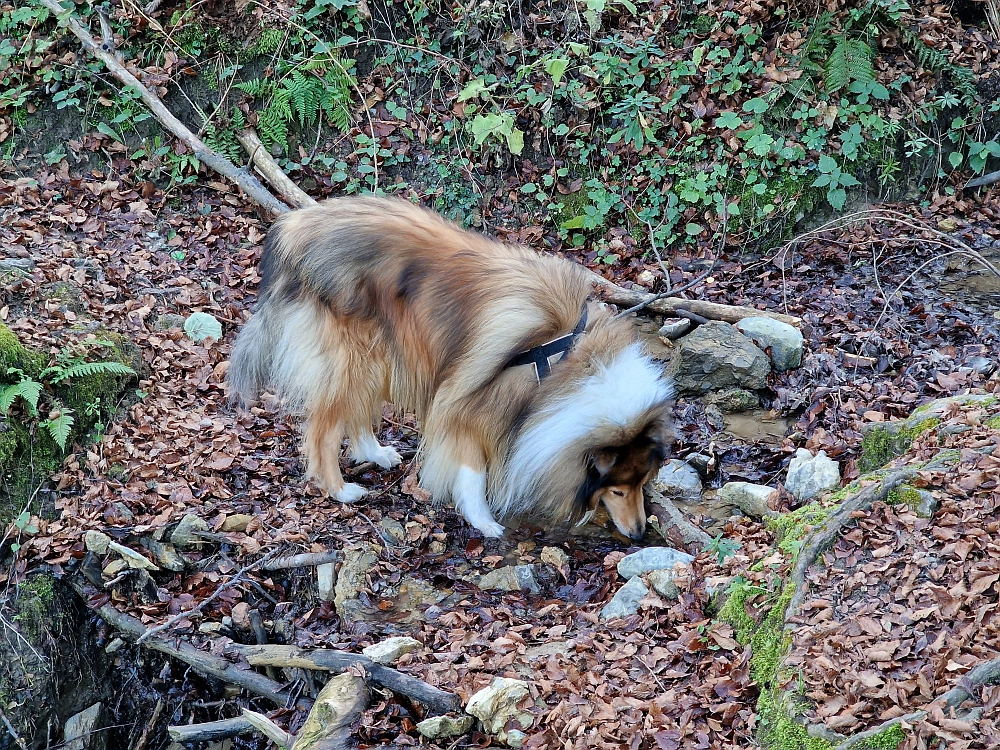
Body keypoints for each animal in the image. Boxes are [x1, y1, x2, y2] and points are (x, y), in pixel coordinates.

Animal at [229, 197, 672, 536]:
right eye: (617, 490)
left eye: (642, 483)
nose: (639, 534)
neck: (566, 358)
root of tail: (297, 226)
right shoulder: (469, 405)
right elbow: (472, 470)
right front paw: (485, 522)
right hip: (353, 361)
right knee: (322, 430)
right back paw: (340, 490)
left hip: (383, 354)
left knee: (357, 412)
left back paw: (375, 453)